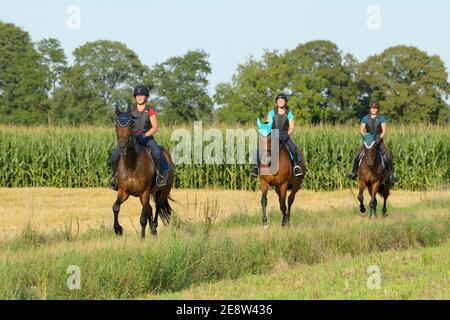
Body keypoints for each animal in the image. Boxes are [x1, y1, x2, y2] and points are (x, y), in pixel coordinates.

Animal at [113, 107, 175, 238]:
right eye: (116, 125)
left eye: (130, 124)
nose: (122, 147)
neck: (132, 165)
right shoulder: (124, 191)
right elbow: (115, 207)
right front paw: (118, 229)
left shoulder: (145, 192)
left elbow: (142, 218)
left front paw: (142, 238)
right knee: (150, 209)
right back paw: (152, 229)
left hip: (162, 191)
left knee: (157, 207)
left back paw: (154, 229)